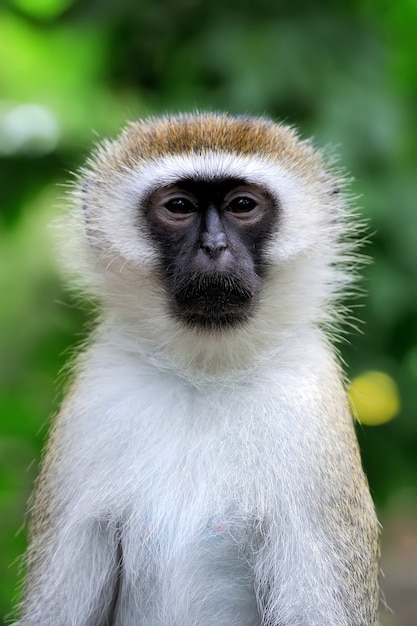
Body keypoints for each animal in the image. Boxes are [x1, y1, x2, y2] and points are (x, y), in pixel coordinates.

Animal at [13, 113, 378, 624]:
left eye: (242, 205)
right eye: (180, 207)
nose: (214, 246)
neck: (203, 373)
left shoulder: (309, 402)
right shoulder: (96, 396)